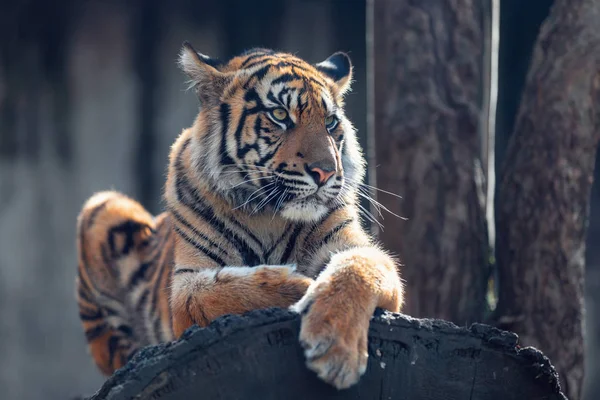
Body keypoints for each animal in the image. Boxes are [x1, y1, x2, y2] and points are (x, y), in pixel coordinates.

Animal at [75, 42, 404, 390]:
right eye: (279, 115)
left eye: (329, 121)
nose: (325, 172)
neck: (269, 215)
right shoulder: (187, 283)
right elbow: (224, 291)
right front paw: (302, 286)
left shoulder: (356, 247)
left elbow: (357, 270)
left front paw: (335, 349)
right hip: (103, 206)